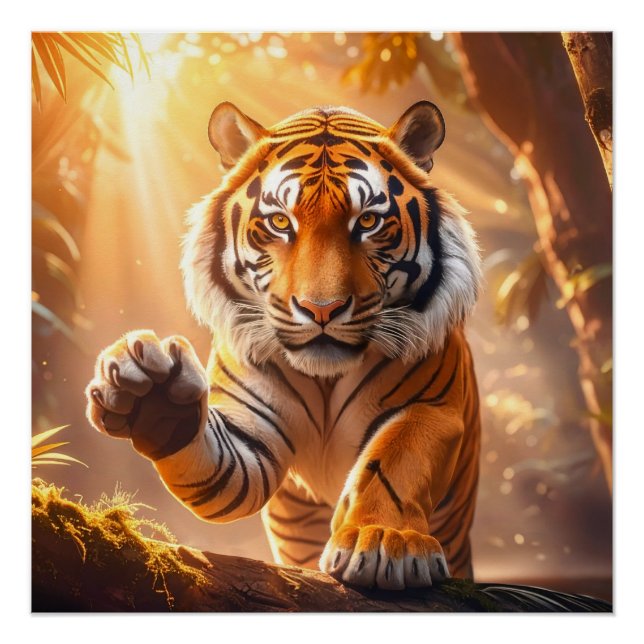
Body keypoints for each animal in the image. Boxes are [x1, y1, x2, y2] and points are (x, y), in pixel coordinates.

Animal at [85, 100, 482, 591]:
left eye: (368, 221)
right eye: (279, 222)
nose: (321, 309)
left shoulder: (430, 407)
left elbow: (395, 461)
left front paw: (382, 540)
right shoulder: (247, 431)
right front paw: (154, 397)